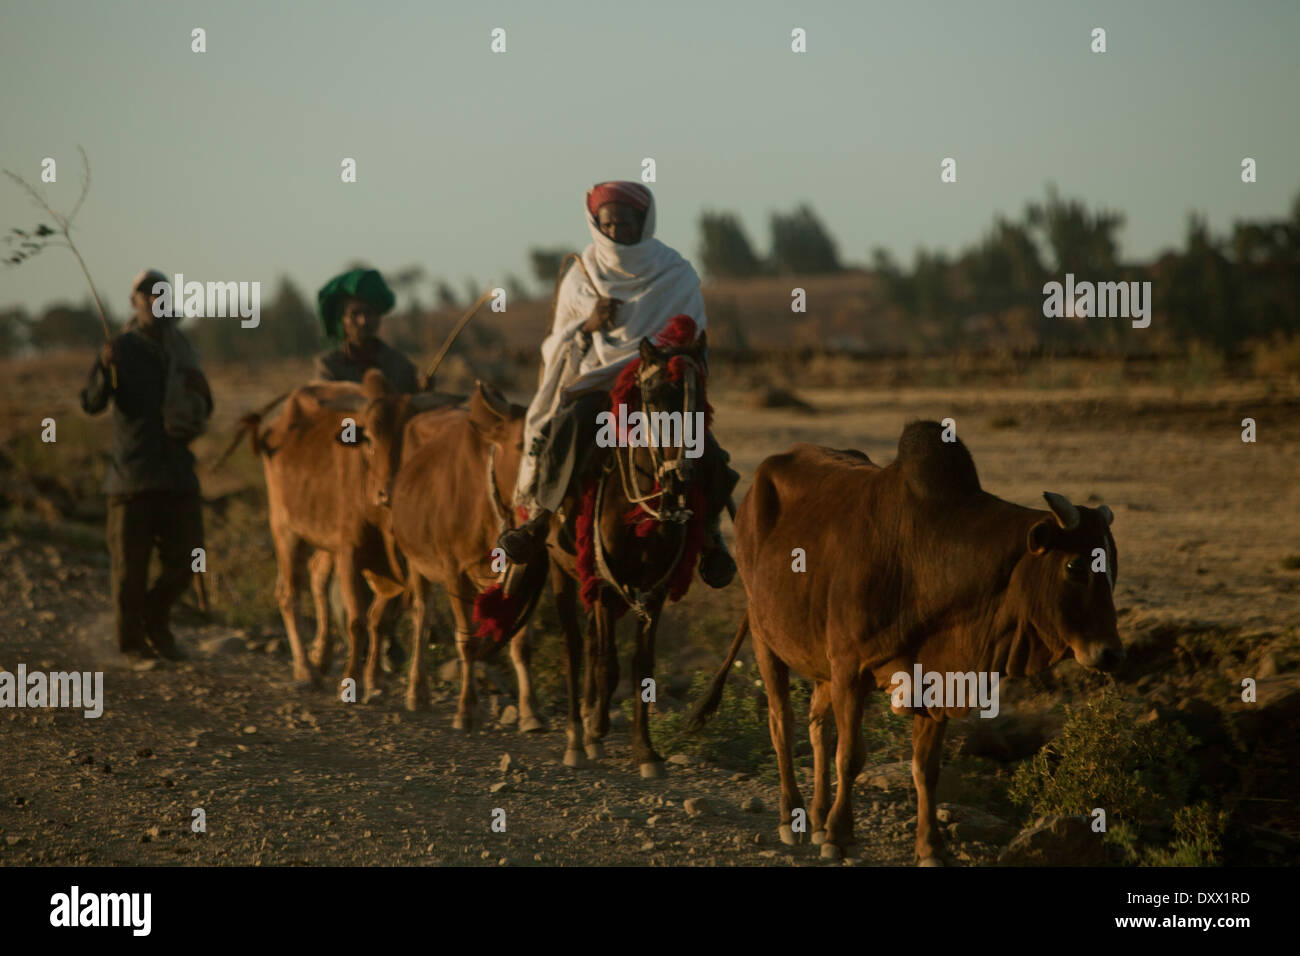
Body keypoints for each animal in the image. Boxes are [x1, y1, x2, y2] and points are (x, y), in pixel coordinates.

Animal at [384, 382, 548, 733]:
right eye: (521, 445)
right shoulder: (453, 571)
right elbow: (467, 641)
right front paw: (466, 709)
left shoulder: (528, 574)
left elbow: (522, 644)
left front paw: (530, 711)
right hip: (416, 560)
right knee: (422, 615)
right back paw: (417, 691)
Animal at [691, 421, 1128, 863]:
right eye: (1075, 566)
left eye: (1113, 568)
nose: (1111, 653)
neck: (924, 562)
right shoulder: (850, 670)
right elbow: (850, 757)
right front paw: (839, 835)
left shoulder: (936, 682)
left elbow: (925, 768)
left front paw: (929, 846)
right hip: (766, 637)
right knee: (782, 722)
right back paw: (791, 816)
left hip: (818, 662)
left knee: (817, 727)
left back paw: (815, 817)